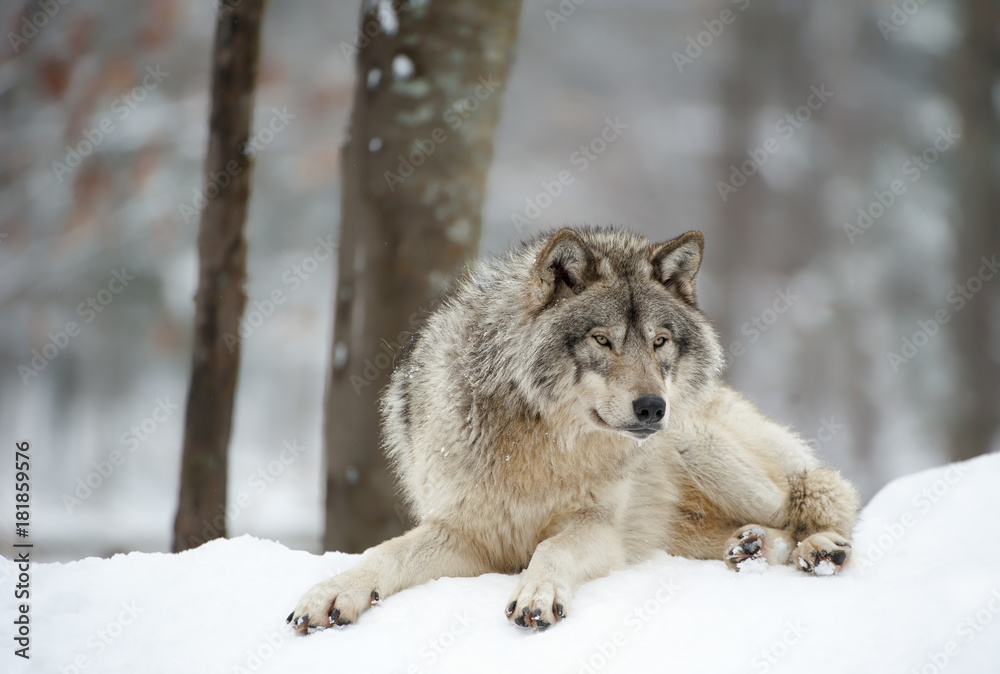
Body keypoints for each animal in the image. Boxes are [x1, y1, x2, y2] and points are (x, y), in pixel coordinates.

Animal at [289, 227, 860, 632]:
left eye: (659, 341)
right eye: (602, 340)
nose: (653, 408)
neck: (540, 444)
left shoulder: (598, 529)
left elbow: (552, 550)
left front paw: (537, 595)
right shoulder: (467, 534)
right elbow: (383, 552)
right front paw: (332, 592)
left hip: (703, 449)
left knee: (816, 505)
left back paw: (819, 549)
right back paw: (751, 546)